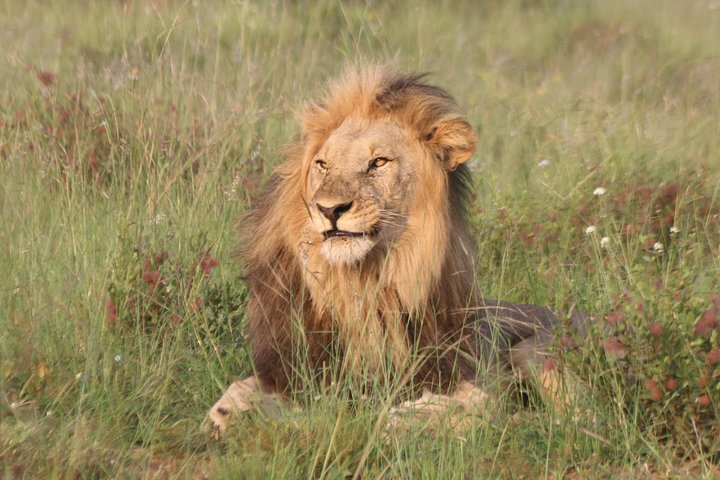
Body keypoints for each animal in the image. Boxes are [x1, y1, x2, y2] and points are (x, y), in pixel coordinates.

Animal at [207, 66, 585, 435]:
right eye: (322, 165)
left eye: (379, 162)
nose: (329, 209)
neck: (360, 284)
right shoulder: (294, 366)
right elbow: (244, 392)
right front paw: (233, 412)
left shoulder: (466, 367)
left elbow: (482, 405)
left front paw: (411, 417)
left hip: (537, 348)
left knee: (579, 417)